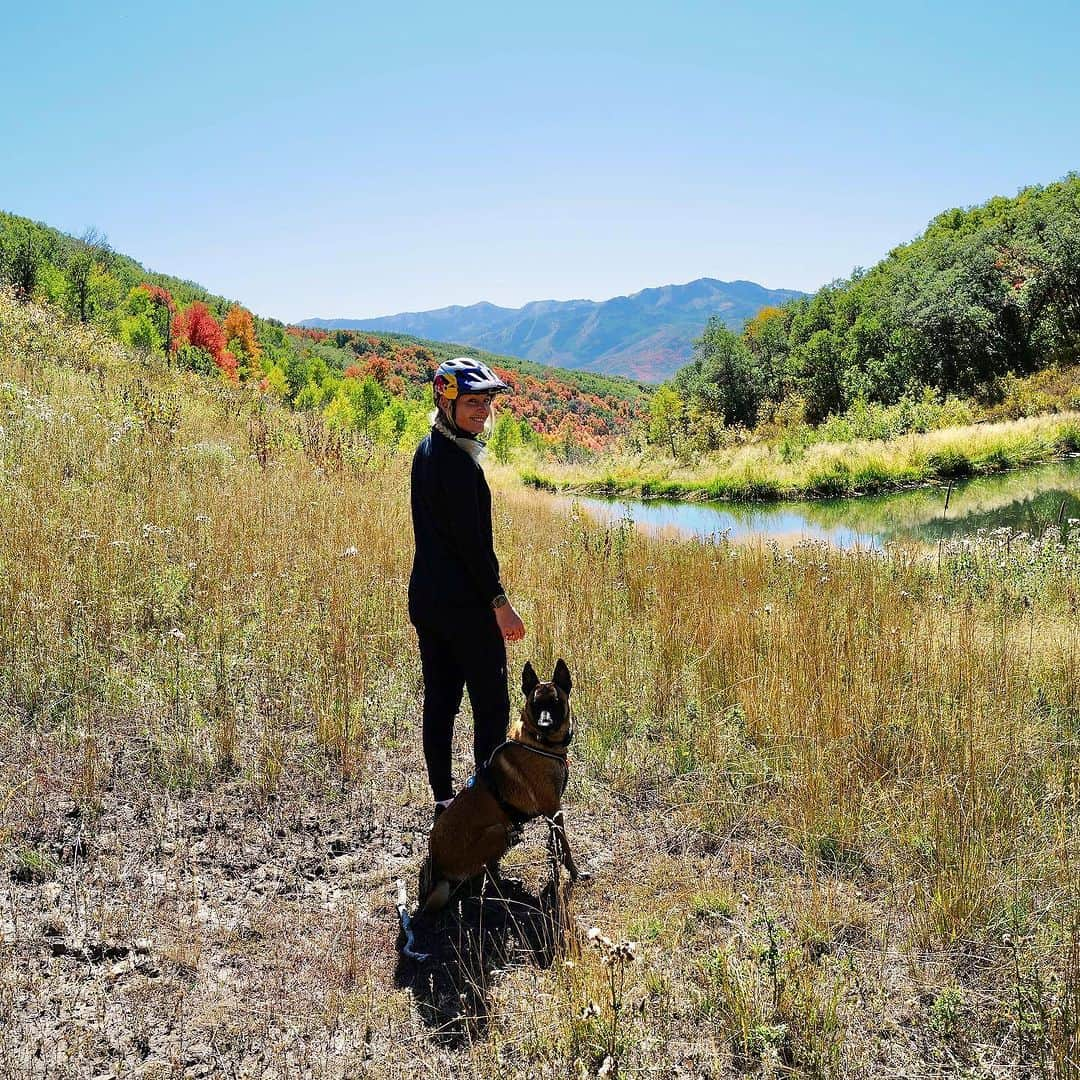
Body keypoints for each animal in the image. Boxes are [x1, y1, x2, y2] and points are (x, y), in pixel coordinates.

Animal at [416, 652, 578, 915]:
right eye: (535, 704)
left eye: (555, 703)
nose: (544, 724)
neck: (539, 742)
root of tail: (437, 865)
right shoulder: (554, 809)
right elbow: (565, 846)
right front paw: (574, 873)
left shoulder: (552, 814)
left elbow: (555, 843)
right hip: (497, 832)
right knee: (484, 876)